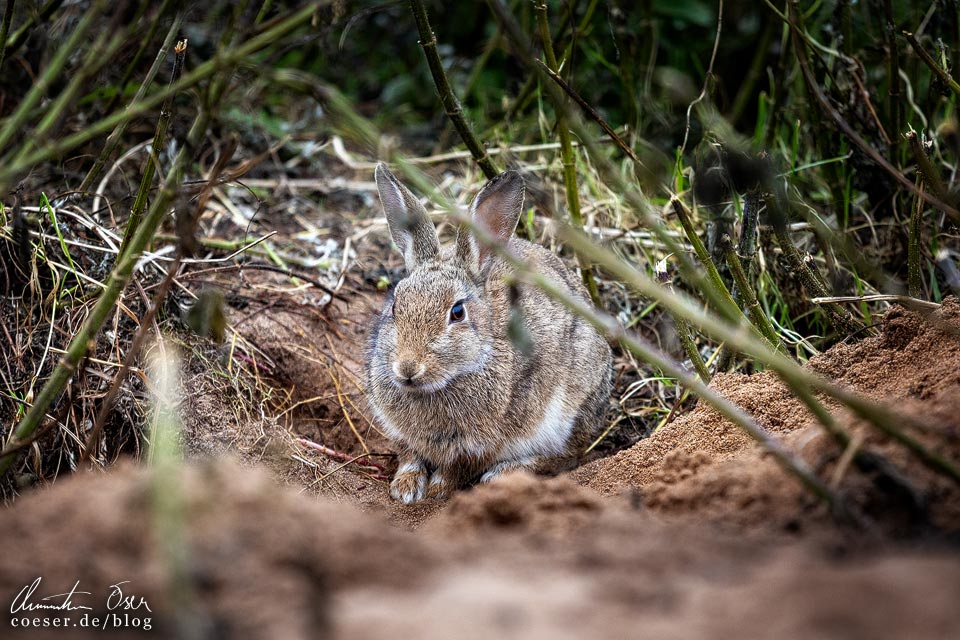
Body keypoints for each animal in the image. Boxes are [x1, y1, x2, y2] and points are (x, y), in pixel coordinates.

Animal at [365, 164, 612, 503]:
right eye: (395, 306)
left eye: (457, 312)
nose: (407, 368)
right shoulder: (401, 434)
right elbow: (409, 456)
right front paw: (405, 488)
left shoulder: (483, 443)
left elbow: (458, 470)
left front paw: (438, 490)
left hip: (570, 411)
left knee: (566, 456)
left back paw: (504, 473)